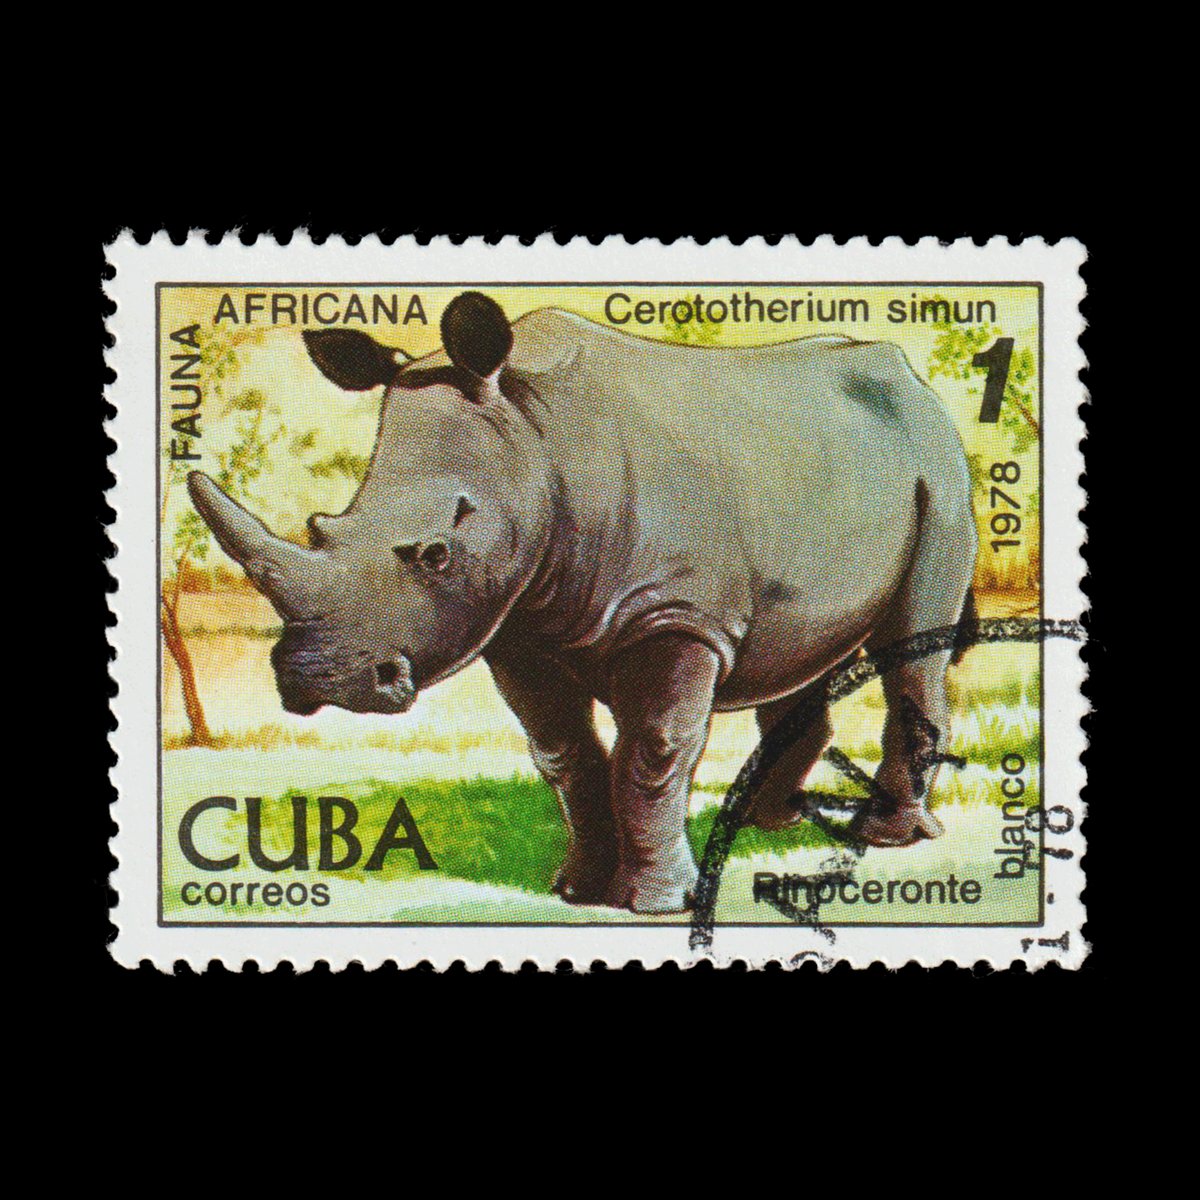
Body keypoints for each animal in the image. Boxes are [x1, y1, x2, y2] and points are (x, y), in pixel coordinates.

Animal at [188, 291, 977, 913]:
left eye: (438, 554)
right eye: (325, 528)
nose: (318, 680)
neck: (536, 440)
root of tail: (917, 385)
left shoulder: (677, 612)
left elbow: (655, 746)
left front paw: (658, 904)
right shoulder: (517, 624)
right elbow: (562, 751)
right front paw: (575, 889)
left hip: (939, 468)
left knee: (914, 650)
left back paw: (885, 837)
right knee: (794, 649)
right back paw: (758, 822)